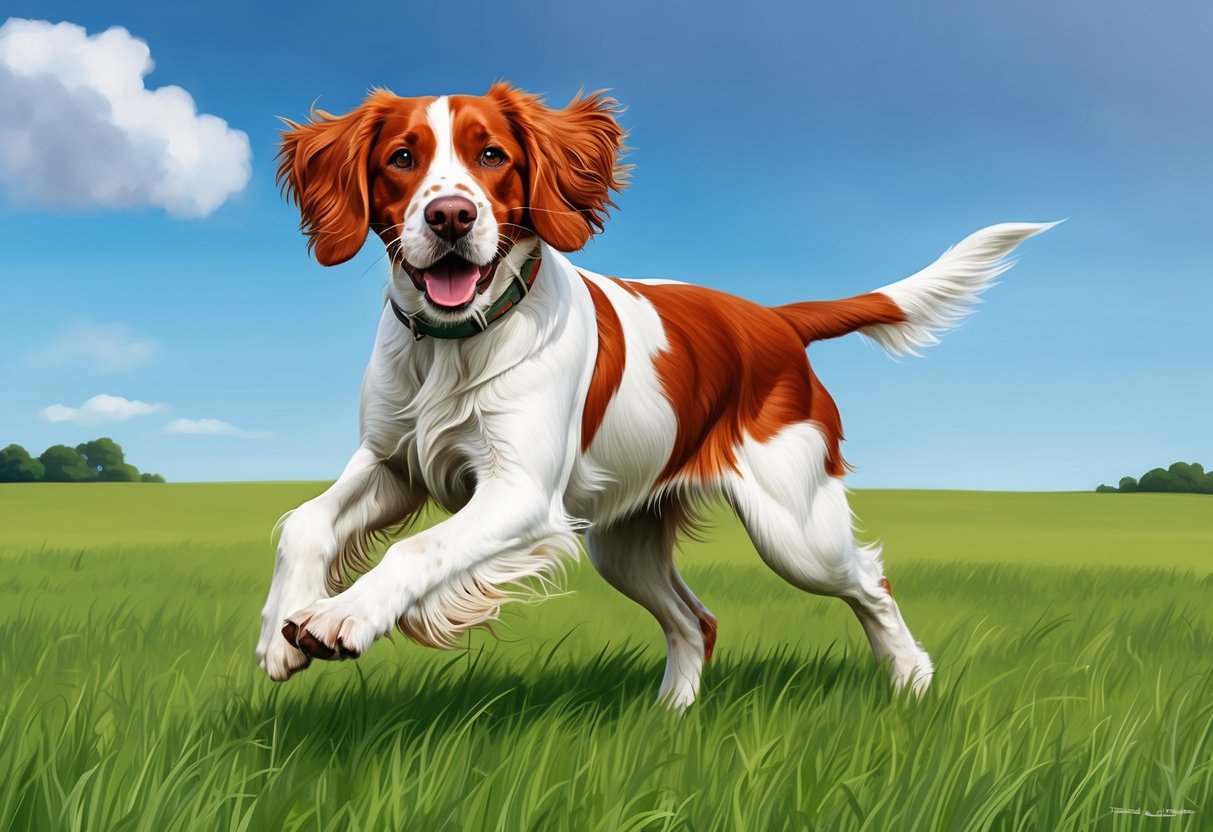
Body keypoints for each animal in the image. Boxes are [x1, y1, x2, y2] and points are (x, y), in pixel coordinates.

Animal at [253, 84, 1052, 708]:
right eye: (401, 158)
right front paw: (281, 630)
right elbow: (306, 521)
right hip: (624, 541)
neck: (454, 345)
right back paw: (668, 722)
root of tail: (773, 319)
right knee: (695, 620)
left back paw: (912, 680)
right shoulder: (393, 462)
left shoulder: (518, 491)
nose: (451, 215)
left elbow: (416, 550)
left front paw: (338, 618)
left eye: (492, 156)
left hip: (795, 531)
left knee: (869, 578)